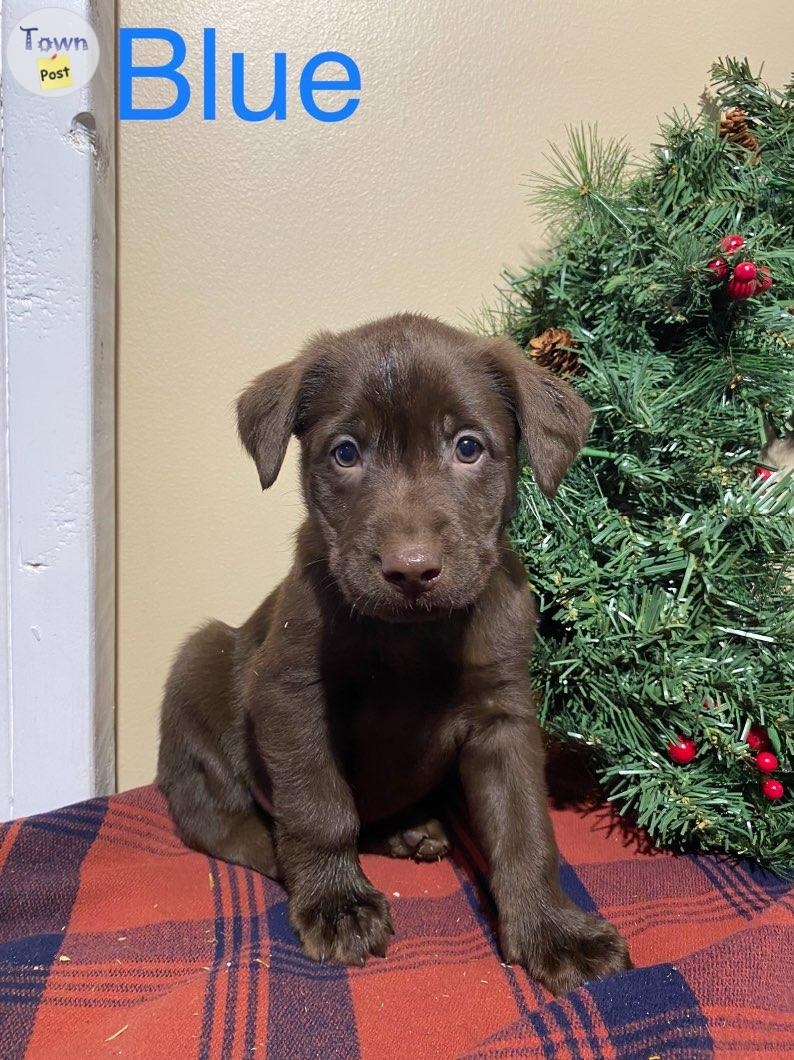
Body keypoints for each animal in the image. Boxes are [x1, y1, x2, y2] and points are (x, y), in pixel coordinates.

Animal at [157, 311, 631, 992]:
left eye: (468, 447)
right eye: (345, 453)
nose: (411, 570)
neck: (413, 635)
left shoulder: (502, 717)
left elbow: (524, 829)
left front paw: (551, 929)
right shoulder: (290, 693)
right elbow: (320, 808)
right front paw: (336, 903)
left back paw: (409, 832)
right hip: (201, 659)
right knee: (215, 818)